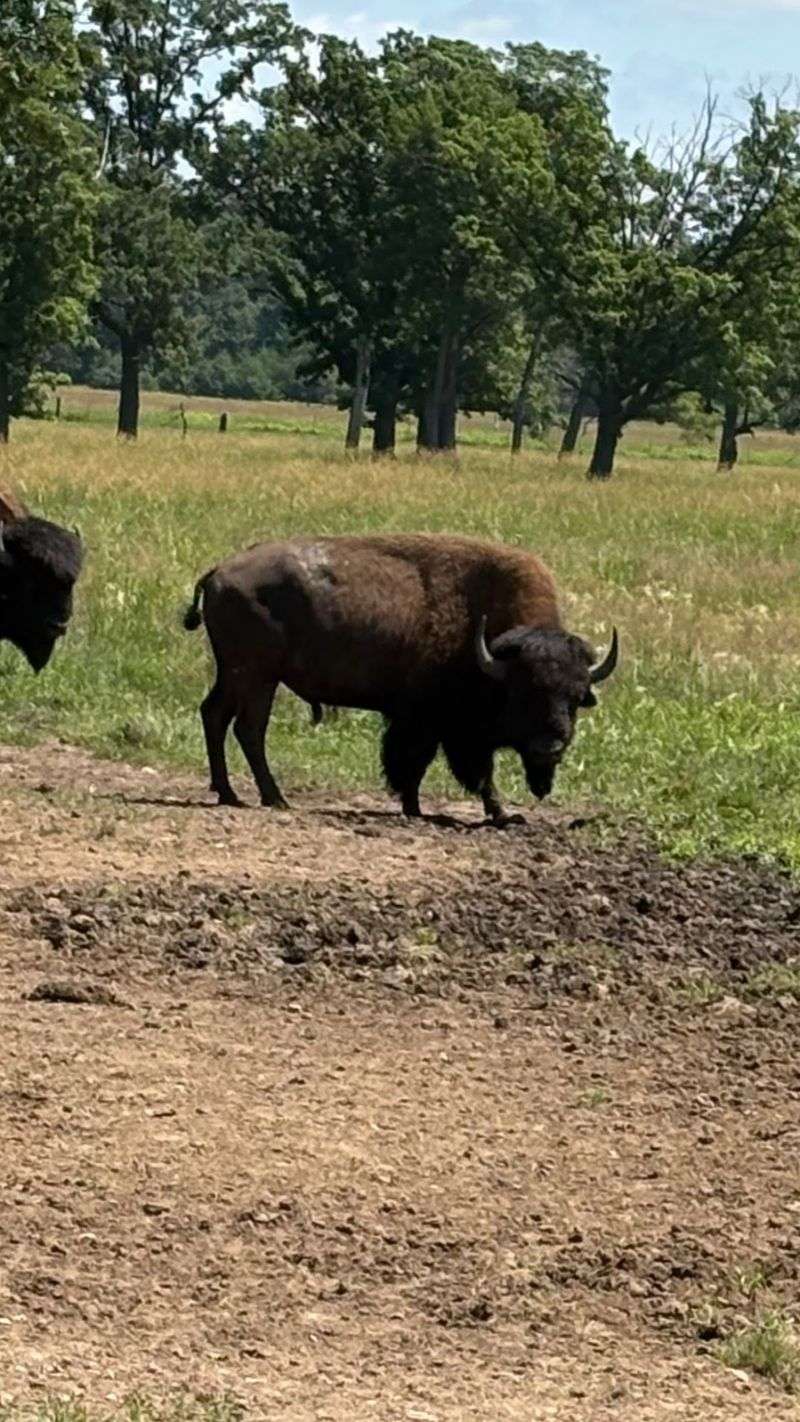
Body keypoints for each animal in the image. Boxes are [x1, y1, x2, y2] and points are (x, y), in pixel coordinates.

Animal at [183, 533, 618, 823]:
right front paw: (499, 814)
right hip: (258, 677)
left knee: (214, 715)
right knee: (248, 729)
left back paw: (228, 792)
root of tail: (219, 571)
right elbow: (457, 769)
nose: (549, 747)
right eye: (522, 694)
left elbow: (418, 765)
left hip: (237, 676)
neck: (491, 654)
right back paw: (275, 798)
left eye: (577, 697)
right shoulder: (442, 727)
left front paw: (415, 806)